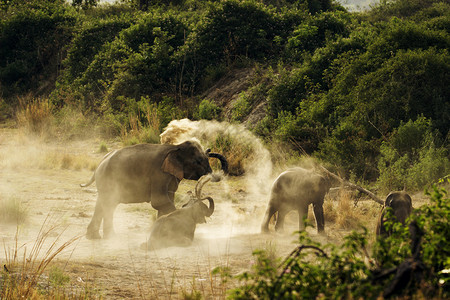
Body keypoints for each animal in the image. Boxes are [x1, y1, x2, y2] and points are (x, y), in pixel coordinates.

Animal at [80, 141, 229, 239]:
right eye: (197, 161)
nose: (209, 150)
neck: (176, 147)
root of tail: (100, 162)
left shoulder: (171, 176)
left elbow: (167, 200)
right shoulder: (159, 173)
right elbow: (160, 201)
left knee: (103, 204)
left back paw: (95, 237)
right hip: (109, 180)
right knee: (108, 205)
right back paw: (110, 237)